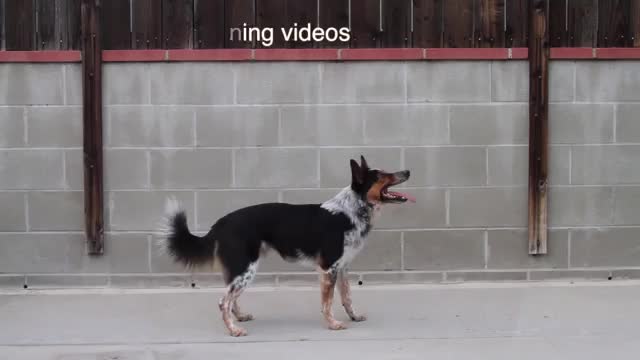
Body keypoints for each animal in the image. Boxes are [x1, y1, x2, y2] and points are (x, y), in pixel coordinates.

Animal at [160, 156, 416, 336]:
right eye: (382, 175)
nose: (408, 171)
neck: (350, 211)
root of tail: (220, 224)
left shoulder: (343, 268)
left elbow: (347, 298)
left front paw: (353, 317)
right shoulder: (328, 269)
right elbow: (328, 303)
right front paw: (333, 324)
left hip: (239, 270)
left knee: (231, 299)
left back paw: (239, 318)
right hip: (246, 268)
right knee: (223, 302)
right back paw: (234, 330)